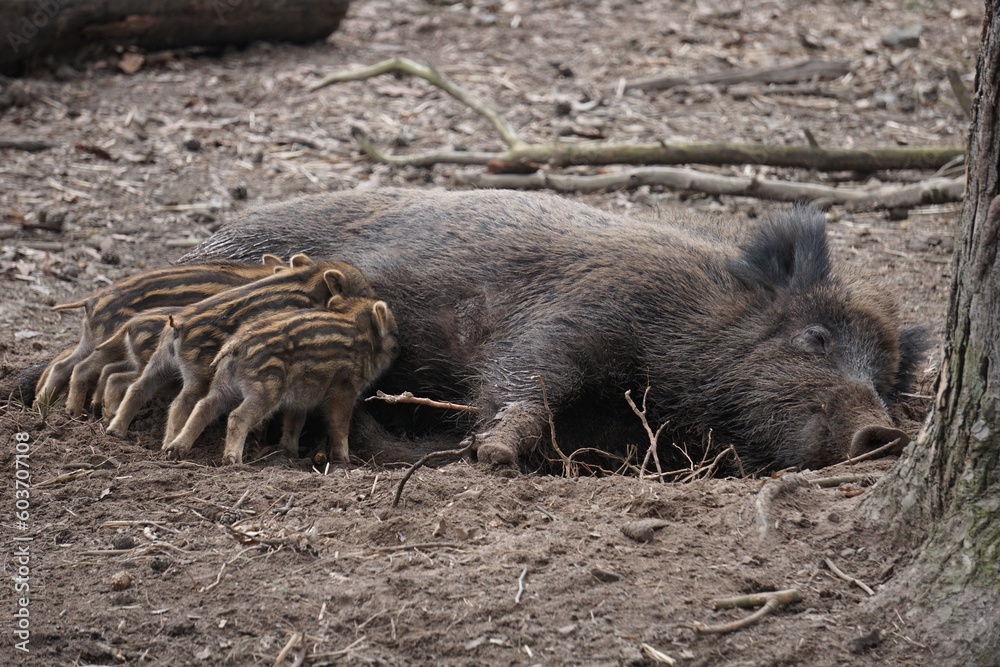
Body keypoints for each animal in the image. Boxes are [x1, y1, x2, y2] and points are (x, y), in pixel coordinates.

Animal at [106, 256, 373, 445]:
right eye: (362, 291)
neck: (310, 282)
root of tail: (177, 326)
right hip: (197, 371)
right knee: (181, 402)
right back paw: (168, 443)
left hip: (159, 361)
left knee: (137, 388)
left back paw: (114, 428)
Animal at [164, 297, 399, 464]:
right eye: (393, 331)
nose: (399, 348)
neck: (364, 338)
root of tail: (235, 345)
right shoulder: (344, 389)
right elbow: (339, 426)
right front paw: (345, 461)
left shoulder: (300, 397)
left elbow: (295, 423)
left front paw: (290, 453)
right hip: (265, 389)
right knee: (237, 416)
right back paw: (233, 460)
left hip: (224, 384)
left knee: (203, 405)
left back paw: (175, 450)